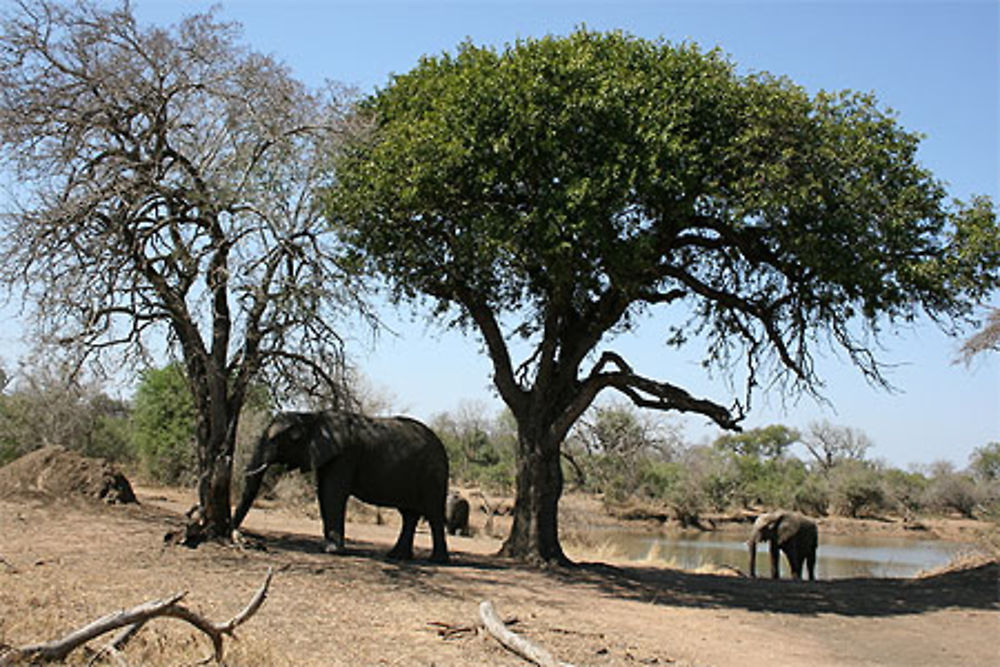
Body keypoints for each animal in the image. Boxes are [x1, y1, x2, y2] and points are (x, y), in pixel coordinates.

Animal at [230, 412, 450, 564]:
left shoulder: (345, 455)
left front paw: (332, 551)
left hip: (433, 474)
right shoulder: (324, 455)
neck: (312, 418)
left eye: (276, 440)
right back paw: (397, 557)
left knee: (433, 513)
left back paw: (436, 561)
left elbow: (332, 494)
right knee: (408, 515)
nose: (240, 539)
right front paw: (327, 547)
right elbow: (322, 494)